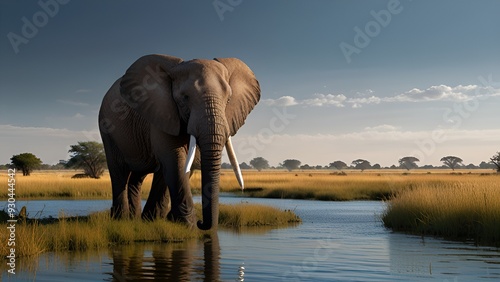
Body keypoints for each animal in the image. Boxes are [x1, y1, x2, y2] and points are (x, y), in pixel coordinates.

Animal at [98, 54, 262, 230]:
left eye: (229, 99)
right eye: (185, 98)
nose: (202, 223)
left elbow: (186, 164)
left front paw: (171, 221)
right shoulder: (163, 112)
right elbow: (175, 160)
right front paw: (189, 225)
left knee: (139, 176)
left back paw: (142, 219)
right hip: (107, 128)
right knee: (119, 171)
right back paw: (121, 219)